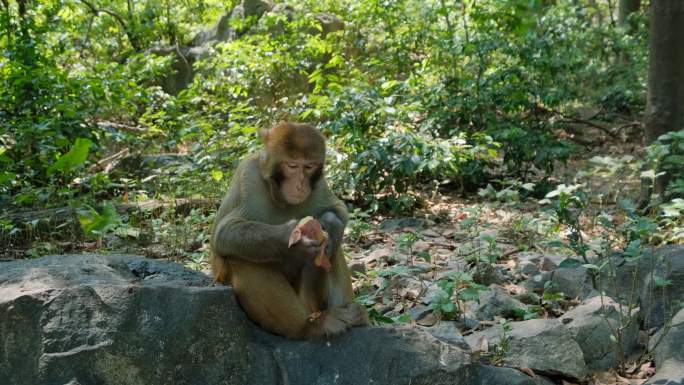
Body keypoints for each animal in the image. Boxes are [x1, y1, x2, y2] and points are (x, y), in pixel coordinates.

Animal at [211, 121, 368, 338]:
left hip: (309, 301)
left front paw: (329, 226)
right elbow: (225, 232)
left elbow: (337, 209)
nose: (300, 184)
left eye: (309, 166)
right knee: (242, 258)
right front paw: (289, 239)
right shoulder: (249, 176)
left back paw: (353, 315)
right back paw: (309, 328)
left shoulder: (318, 183)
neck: (281, 198)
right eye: (292, 166)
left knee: (332, 251)